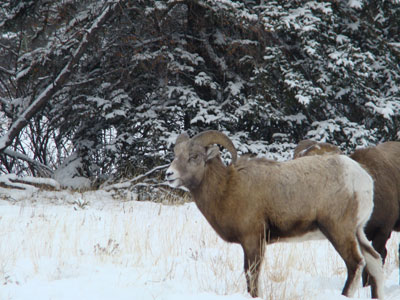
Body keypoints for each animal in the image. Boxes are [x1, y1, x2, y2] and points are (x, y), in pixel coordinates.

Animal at [166, 131, 384, 300]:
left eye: (194, 156)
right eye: (176, 154)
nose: (169, 174)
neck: (226, 188)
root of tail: (362, 178)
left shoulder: (252, 240)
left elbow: (252, 277)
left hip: (338, 231)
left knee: (356, 264)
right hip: (358, 231)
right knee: (374, 260)